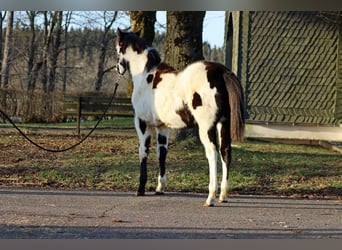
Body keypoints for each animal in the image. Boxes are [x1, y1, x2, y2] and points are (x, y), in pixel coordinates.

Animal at [116, 28, 244, 206]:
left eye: (118, 47)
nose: (118, 69)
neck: (146, 75)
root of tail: (221, 72)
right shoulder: (163, 127)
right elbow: (162, 153)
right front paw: (159, 188)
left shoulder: (142, 123)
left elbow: (143, 152)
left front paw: (140, 189)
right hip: (223, 125)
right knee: (225, 152)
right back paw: (223, 195)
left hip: (206, 127)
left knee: (212, 153)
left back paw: (210, 197)